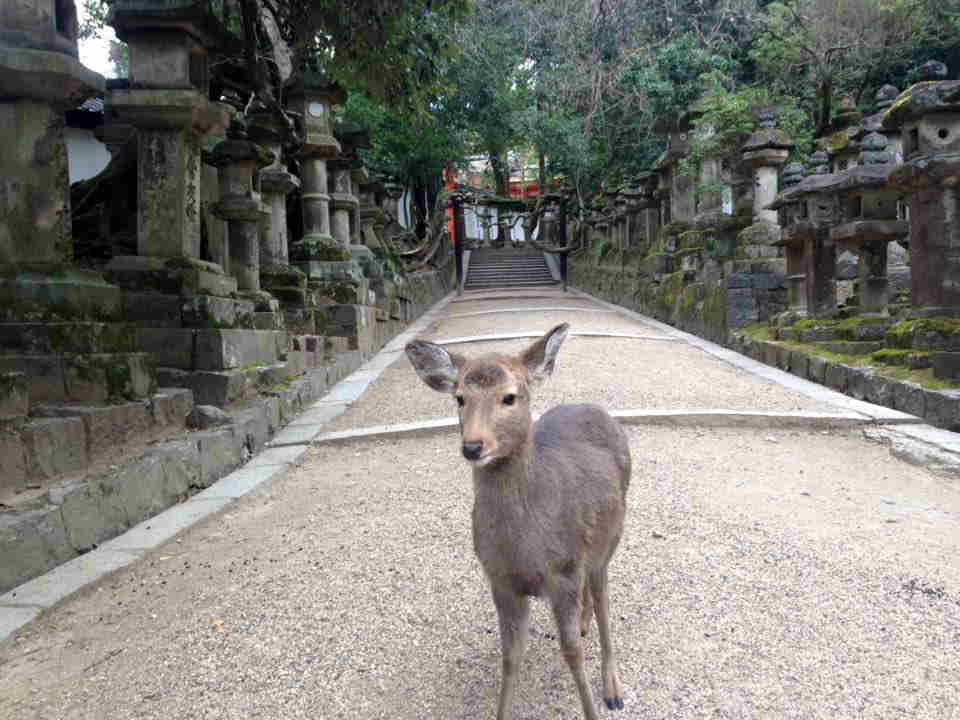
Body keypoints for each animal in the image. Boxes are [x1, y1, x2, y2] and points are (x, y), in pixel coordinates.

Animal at [404, 324, 632, 720]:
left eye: (509, 397)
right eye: (459, 397)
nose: (472, 446)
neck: (524, 550)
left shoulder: (564, 572)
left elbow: (572, 655)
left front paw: (592, 709)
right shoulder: (500, 580)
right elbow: (510, 657)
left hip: (609, 541)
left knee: (604, 599)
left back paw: (613, 688)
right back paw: (585, 624)